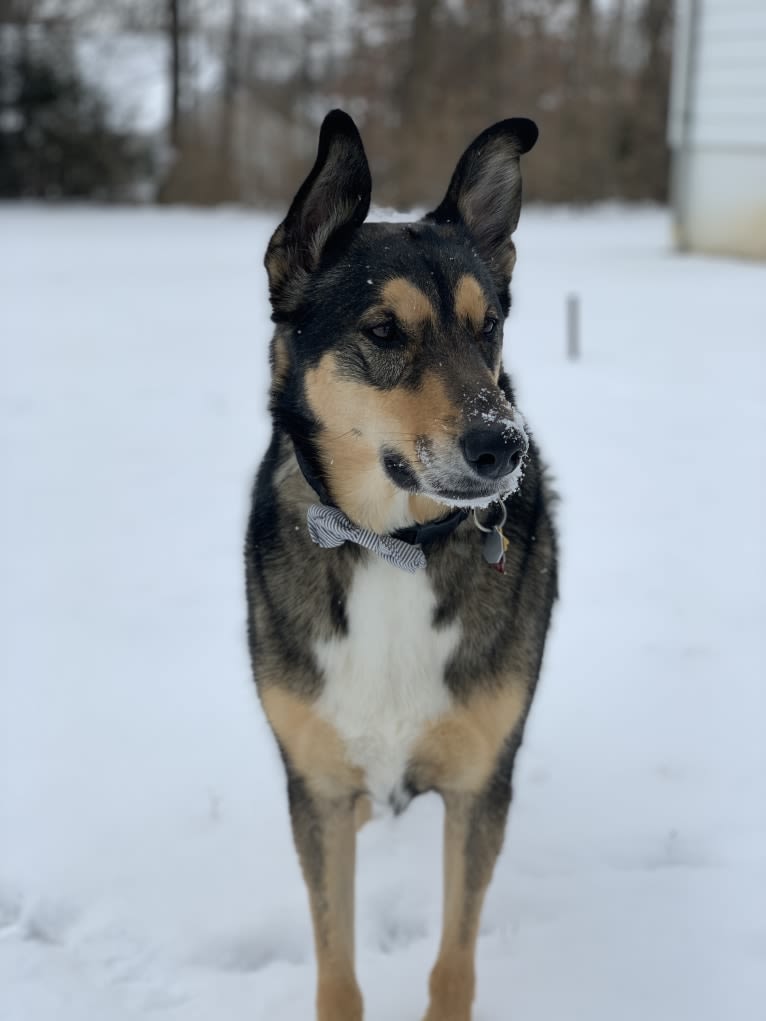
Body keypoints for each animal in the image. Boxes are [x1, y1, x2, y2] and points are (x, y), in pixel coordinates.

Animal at [246, 111, 559, 1021]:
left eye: (488, 326)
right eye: (383, 332)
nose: (505, 446)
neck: (390, 546)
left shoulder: (480, 786)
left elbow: (453, 961)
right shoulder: (314, 785)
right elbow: (335, 967)